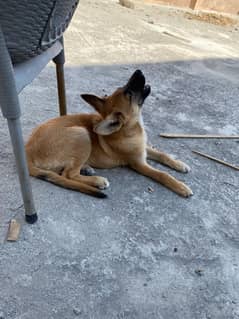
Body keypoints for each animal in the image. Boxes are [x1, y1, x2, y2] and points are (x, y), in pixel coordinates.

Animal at [25, 70, 192, 198]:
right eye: (129, 94)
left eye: (123, 88)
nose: (138, 71)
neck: (129, 129)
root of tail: (27, 152)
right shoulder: (138, 163)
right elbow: (162, 174)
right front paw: (181, 187)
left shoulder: (143, 148)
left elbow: (163, 155)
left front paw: (180, 164)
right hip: (81, 134)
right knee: (68, 174)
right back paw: (97, 180)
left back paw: (86, 168)